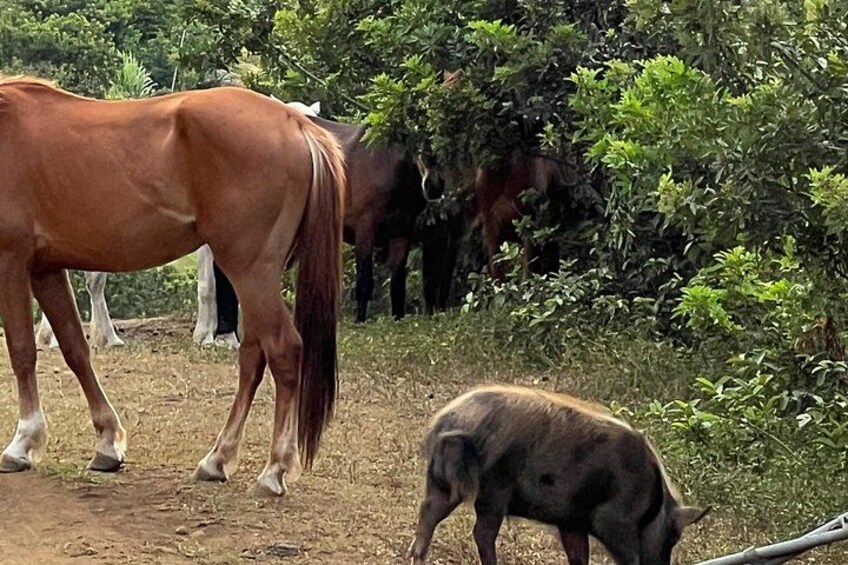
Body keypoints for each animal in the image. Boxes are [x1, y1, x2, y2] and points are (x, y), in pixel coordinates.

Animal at [0, 77, 345, 497]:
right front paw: (107, 443)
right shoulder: (45, 268)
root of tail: (295, 123)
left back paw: (273, 470)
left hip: (250, 270)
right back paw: (217, 459)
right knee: (252, 355)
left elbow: (21, 351)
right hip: (253, 277)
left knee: (283, 349)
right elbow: (74, 348)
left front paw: (21, 444)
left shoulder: (11, 260)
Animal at [408, 385, 708, 565]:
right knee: (481, 533)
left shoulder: (571, 522)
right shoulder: (612, 521)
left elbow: (579, 555)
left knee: (428, 513)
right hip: (494, 488)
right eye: (673, 536)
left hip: (441, 483)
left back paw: (416, 556)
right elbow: (628, 558)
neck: (651, 504)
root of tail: (450, 420)